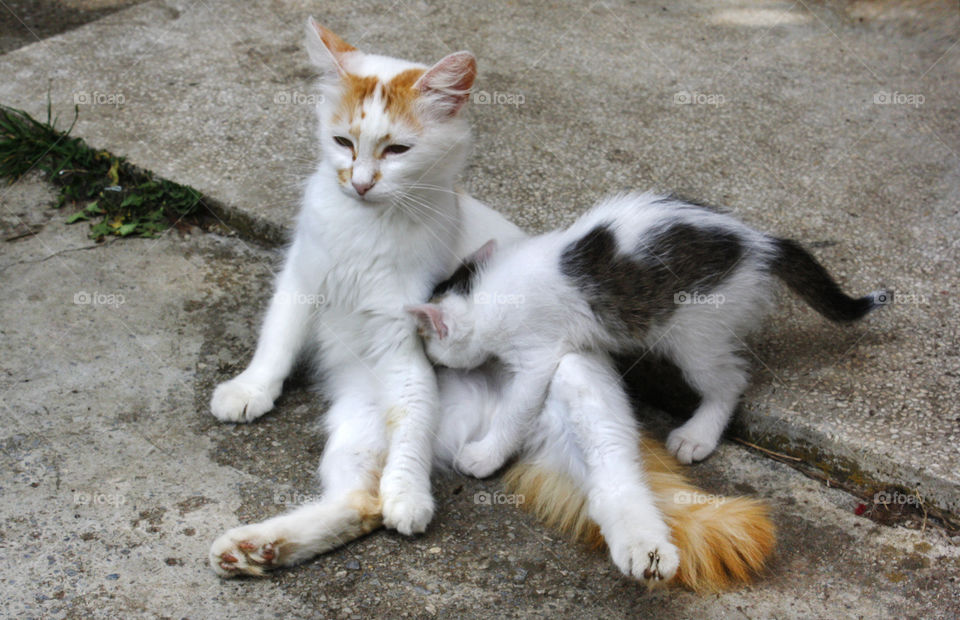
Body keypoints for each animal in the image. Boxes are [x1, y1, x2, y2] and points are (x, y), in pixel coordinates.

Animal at [208, 20, 772, 592]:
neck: (365, 226)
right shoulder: (302, 272)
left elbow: (413, 414)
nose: (361, 184)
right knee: (360, 502)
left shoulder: (408, 335)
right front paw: (252, 389)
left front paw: (408, 494)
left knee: (618, 482)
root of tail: (485, 424)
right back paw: (258, 548)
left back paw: (644, 547)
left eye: (397, 150)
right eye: (342, 142)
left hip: (576, 380)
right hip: (357, 424)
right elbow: (278, 337)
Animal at [404, 191, 884, 472]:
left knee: (730, 380)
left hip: (696, 329)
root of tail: (757, 243)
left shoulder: (538, 352)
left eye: (428, 341)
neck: (486, 294)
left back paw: (698, 435)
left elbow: (516, 407)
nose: (432, 360)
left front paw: (484, 455)